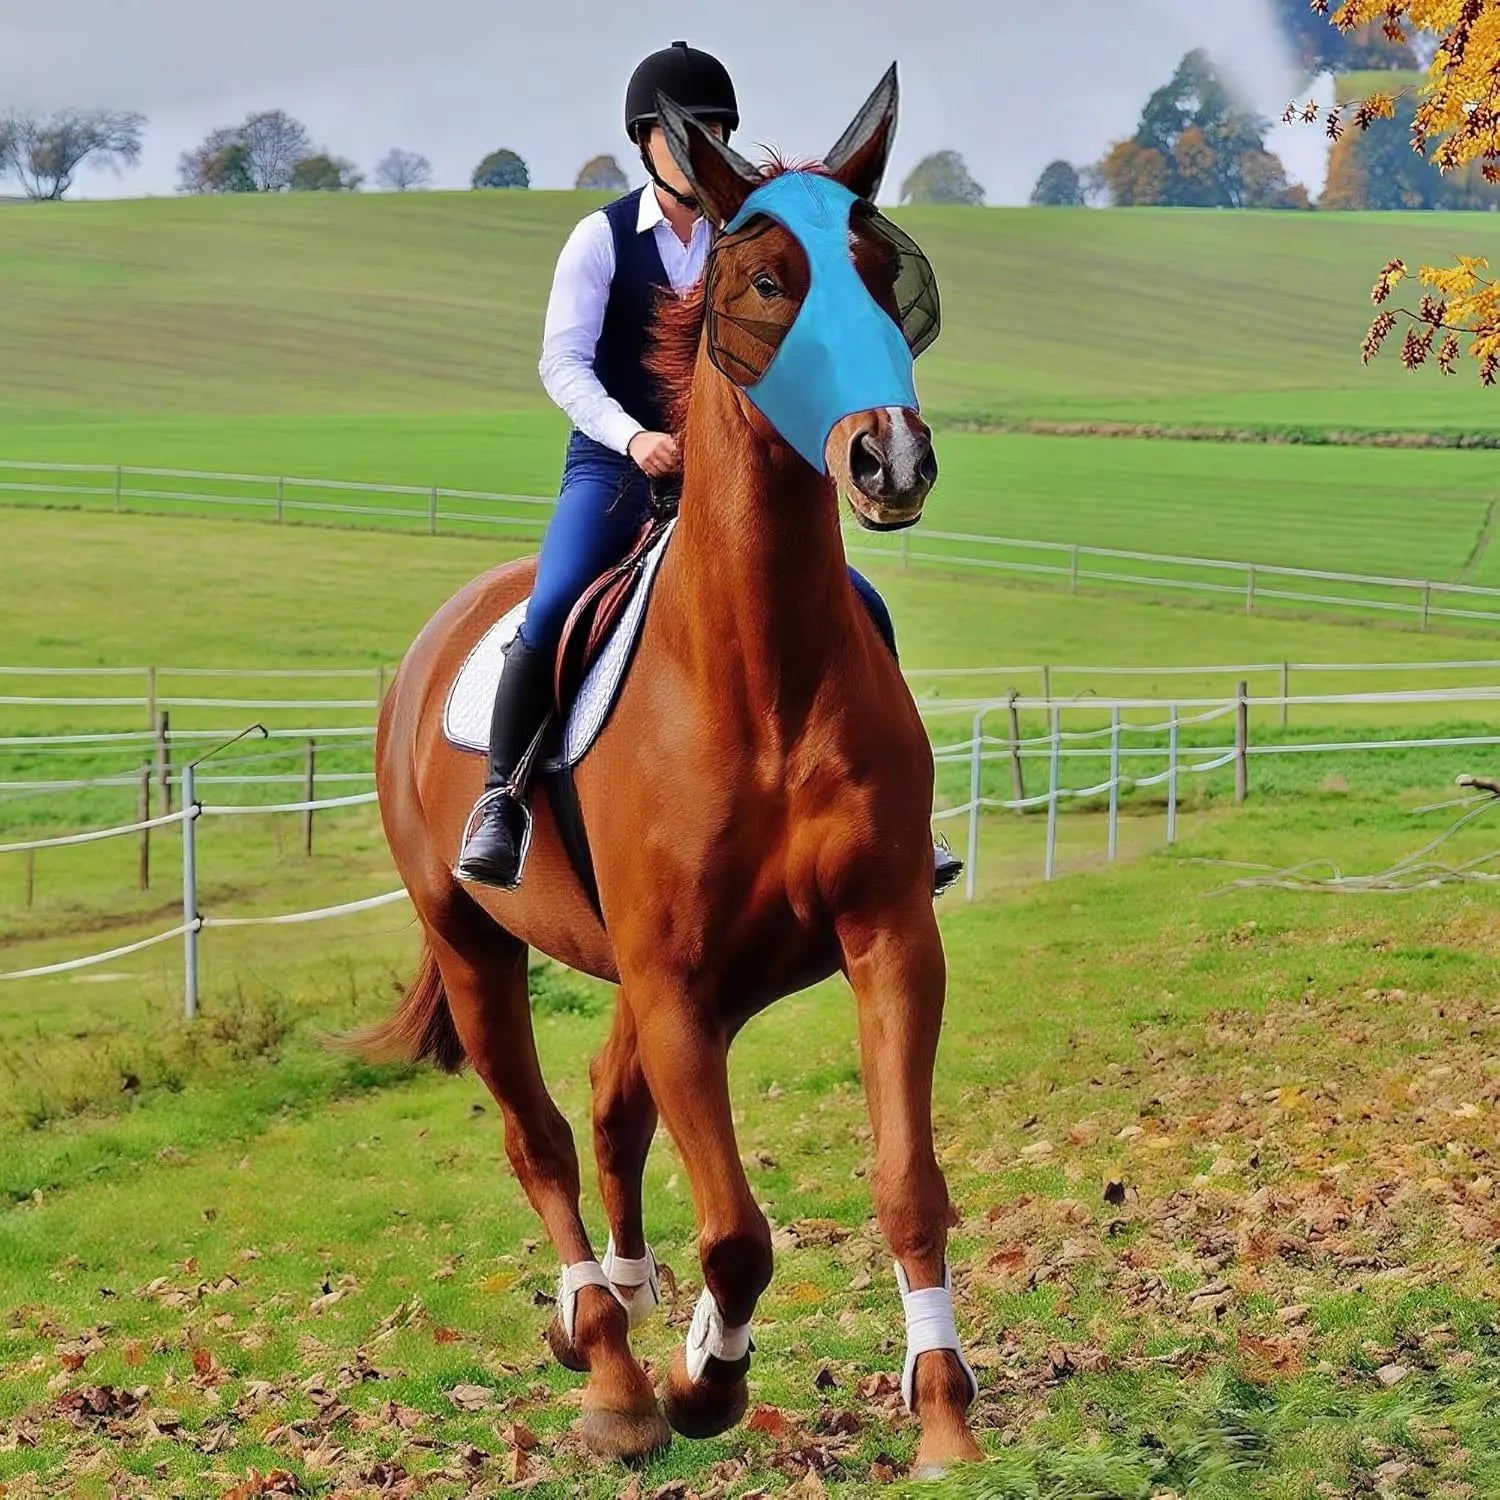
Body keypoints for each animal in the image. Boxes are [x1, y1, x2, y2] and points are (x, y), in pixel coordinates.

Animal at [361, 67, 984, 1477]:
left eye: (882, 269)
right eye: (765, 282)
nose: (891, 458)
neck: (760, 675)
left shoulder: (883, 936)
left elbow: (905, 1185)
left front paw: (943, 1417)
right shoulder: (675, 982)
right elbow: (740, 1232)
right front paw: (705, 1381)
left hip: (715, 978)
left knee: (607, 1109)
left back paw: (630, 1310)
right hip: (481, 949)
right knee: (540, 1137)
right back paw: (609, 1363)